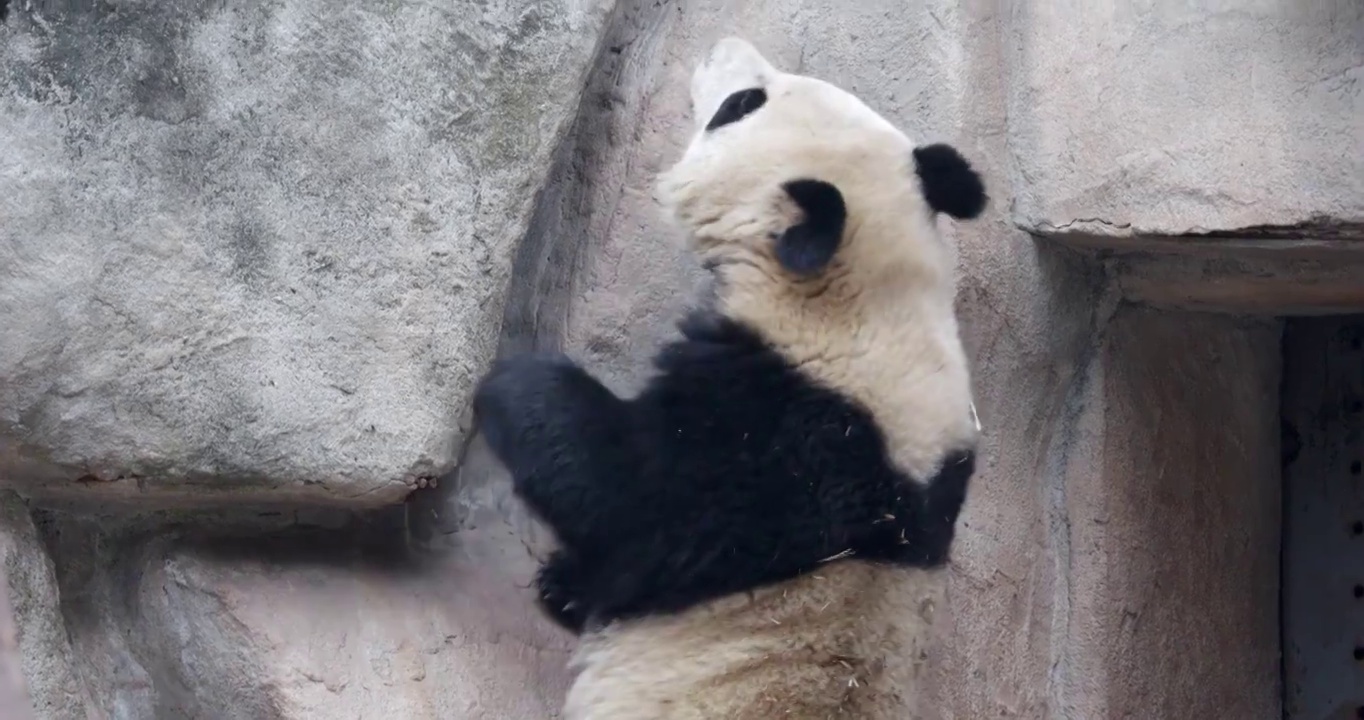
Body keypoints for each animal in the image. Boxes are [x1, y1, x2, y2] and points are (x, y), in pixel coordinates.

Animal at [474, 38, 987, 720]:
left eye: (742, 104)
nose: (724, 44)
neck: (867, 302)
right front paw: (564, 584)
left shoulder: (780, 445)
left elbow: (623, 501)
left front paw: (516, 379)